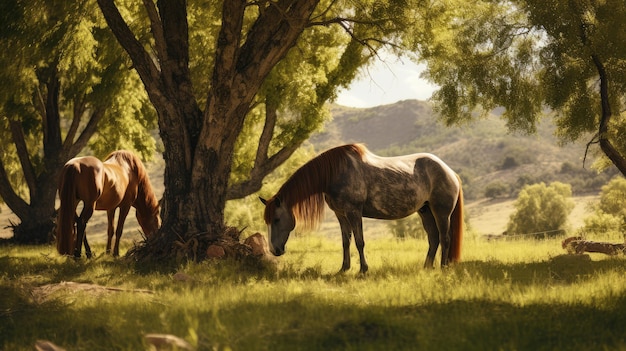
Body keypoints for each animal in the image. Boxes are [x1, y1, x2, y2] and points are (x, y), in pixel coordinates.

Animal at [260, 144, 464, 274]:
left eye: (277, 219)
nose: (274, 250)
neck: (336, 173)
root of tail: (450, 172)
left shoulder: (353, 212)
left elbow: (359, 242)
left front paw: (363, 270)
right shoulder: (341, 215)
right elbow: (345, 242)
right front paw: (344, 268)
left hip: (441, 212)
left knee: (445, 238)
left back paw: (443, 267)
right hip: (425, 211)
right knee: (433, 238)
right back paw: (426, 267)